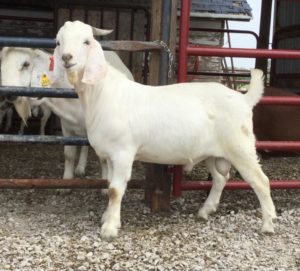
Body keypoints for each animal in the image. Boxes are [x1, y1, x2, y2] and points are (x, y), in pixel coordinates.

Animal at [2, 46, 134, 181]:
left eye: (26, 64)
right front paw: (67, 179)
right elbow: (69, 155)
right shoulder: (67, 127)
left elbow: (103, 159)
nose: (8, 92)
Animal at [52, 20, 276, 239]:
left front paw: (109, 228)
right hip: (213, 152)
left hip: (240, 147)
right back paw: (205, 211)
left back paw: (268, 224)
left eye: (87, 41)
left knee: (261, 181)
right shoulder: (108, 155)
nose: (66, 57)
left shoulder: (123, 152)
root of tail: (244, 98)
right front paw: (107, 217)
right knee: (221, 178)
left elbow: (115, 190)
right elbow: (109, 185)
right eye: (58, 42)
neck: (103, 93)